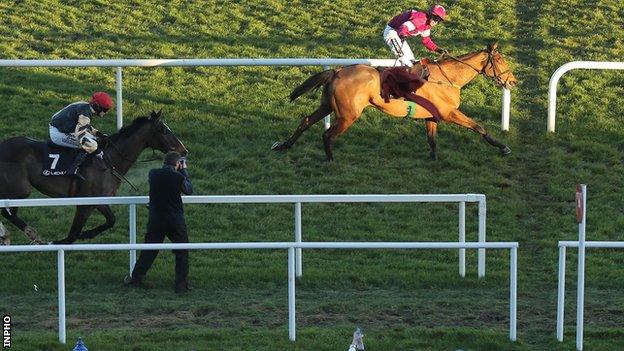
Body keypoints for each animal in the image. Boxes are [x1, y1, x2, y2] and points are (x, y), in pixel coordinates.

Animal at [0, 111, 188, 246]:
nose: (184, 150)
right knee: (7, 211)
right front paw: (57, 242)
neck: (108, 160)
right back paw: (27, 232)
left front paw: (87, 234)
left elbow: (111, 220)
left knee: (8, 211)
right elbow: (71, 236)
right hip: (20, 189)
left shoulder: (99, 200)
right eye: (163, 130)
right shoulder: (85, 203)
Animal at [272, 42, 516, 161]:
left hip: (326, 106)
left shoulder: (432, 116)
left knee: (305, 121)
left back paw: (284, 145)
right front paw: (503, 147)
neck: (447, 79)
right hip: (348, 115)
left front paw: (434, 159)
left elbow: (432, 140)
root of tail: (338, 71)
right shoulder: (448, 113)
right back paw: (330, 160)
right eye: (500, 60)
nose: (512, 81)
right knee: (327, 135)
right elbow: (479, 127)